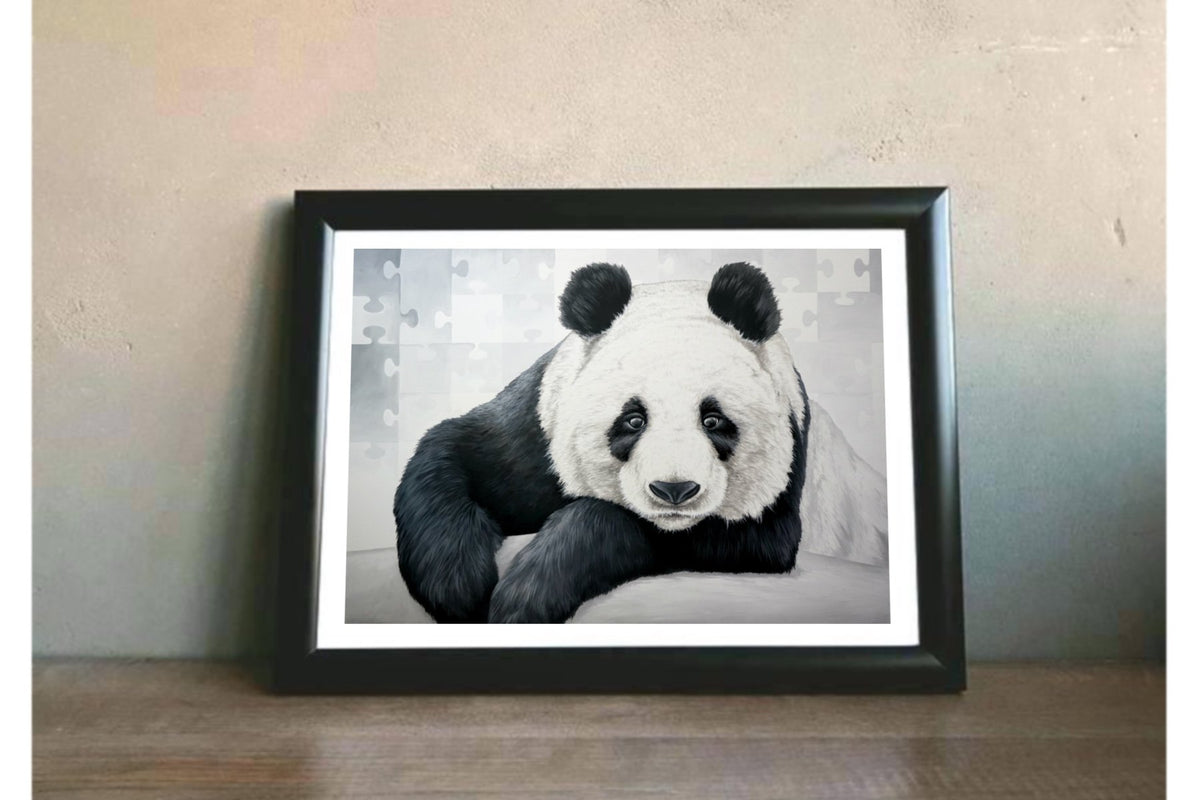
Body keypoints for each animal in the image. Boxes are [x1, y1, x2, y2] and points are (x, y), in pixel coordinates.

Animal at [393, 261, 886, 623]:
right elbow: (452, 453)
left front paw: (527, 593)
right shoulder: (533, 434)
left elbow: (646, 527)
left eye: (713, 419)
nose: (674, 490)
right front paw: (458, 585)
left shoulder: (779, 485)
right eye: (633, 419)